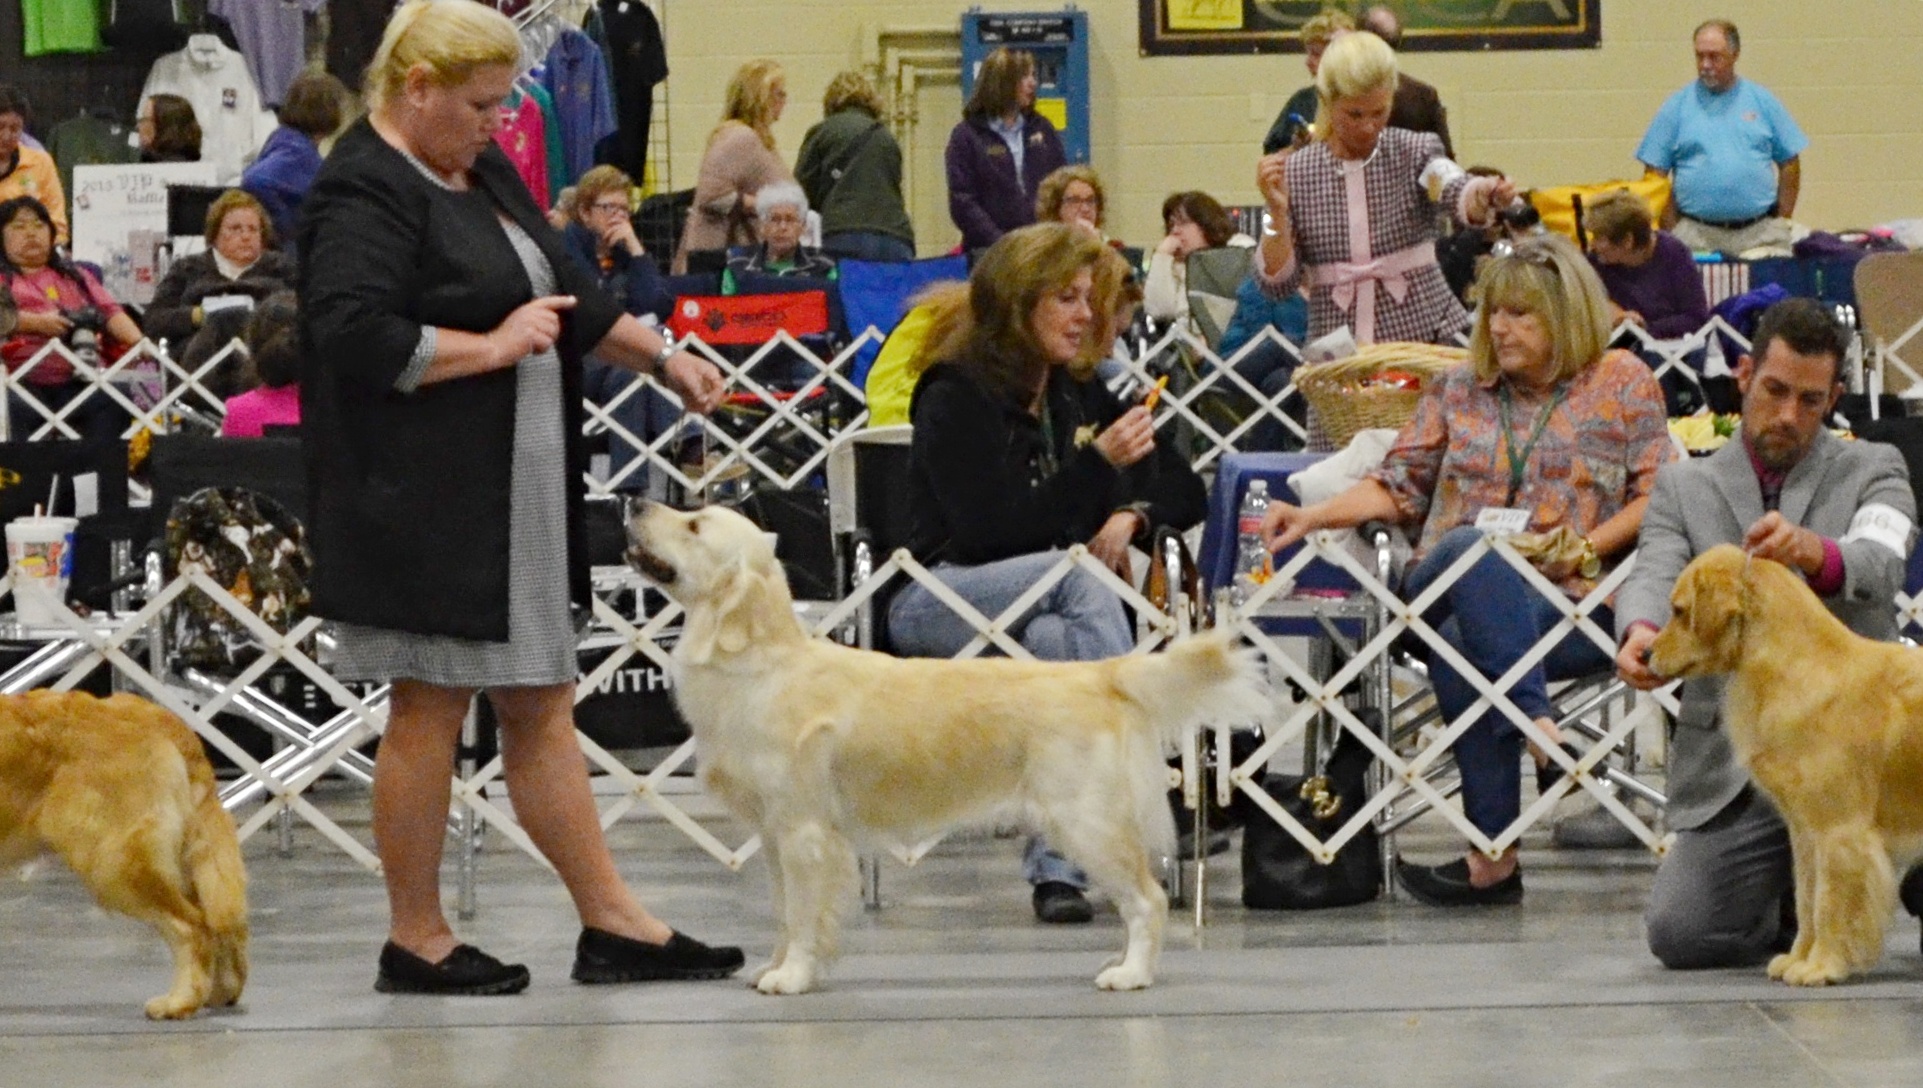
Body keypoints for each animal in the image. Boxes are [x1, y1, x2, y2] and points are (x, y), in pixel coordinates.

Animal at [0, 695, 249, 1022]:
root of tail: (153, 715)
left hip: (115, 863)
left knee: (192, 927)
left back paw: (179, 1002)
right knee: (216, 922)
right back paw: (219, 992)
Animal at [623, 503, 1269, 999]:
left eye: (694, 525)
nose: (632, 502)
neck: (760, 665)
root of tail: (1097, 672)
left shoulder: (804, 833)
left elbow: (805, 915)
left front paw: (795, 976)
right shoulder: (775, 835)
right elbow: (785, 913)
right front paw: (776, 966)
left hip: (1086, 822)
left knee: (1148, 898)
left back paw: (1131, 973)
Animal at [1646, 545, 1923, 991]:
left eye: (1679, 610)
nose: (1644, 653)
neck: (1797, 669)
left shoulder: (1839, 829)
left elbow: (1829, 902)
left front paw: (1822, 965)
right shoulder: (1805, 831)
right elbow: (1807, 898)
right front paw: (1797, 957)